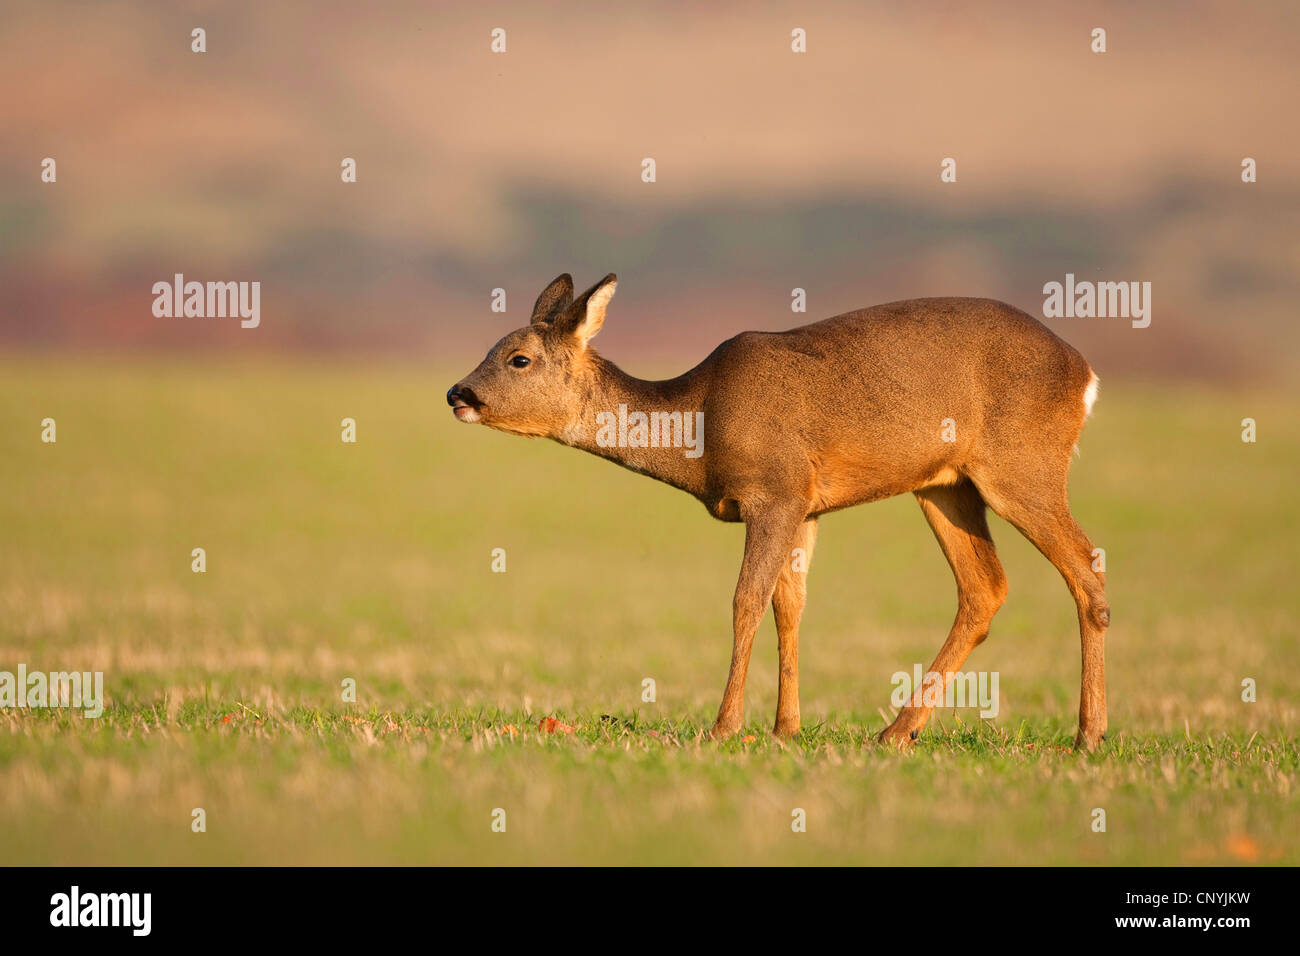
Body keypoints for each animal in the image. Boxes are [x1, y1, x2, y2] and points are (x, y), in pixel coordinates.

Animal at [447, 273, 1107, 749]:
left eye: (519, 358)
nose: (457, 393)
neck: (699, 424)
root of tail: (1087, 374)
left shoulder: (775, 491)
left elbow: (746, 600)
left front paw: (724, 726)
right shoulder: (806, 507)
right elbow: (790, 606)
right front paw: (784, 727)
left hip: (1021, 465)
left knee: (1086, 568)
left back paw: (1087, 736)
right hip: (946, 485)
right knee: (985, 587)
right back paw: (897, 732)